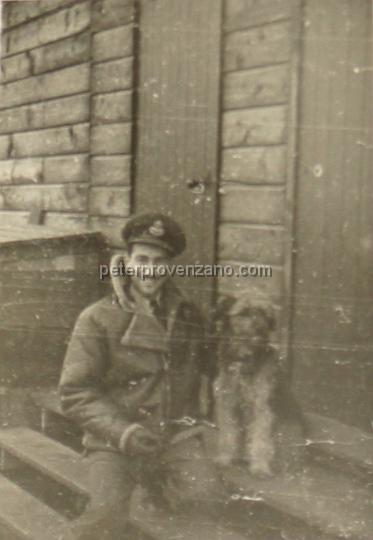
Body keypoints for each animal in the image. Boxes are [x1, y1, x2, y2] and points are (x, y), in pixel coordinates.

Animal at [214, 292, 304, 476]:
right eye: (243, 313)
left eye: (264, 314)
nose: (260, 331)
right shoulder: (226, 403)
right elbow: (227, 432)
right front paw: (224, 458)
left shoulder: (262, 407)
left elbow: (260, 437)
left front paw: (260, 467)